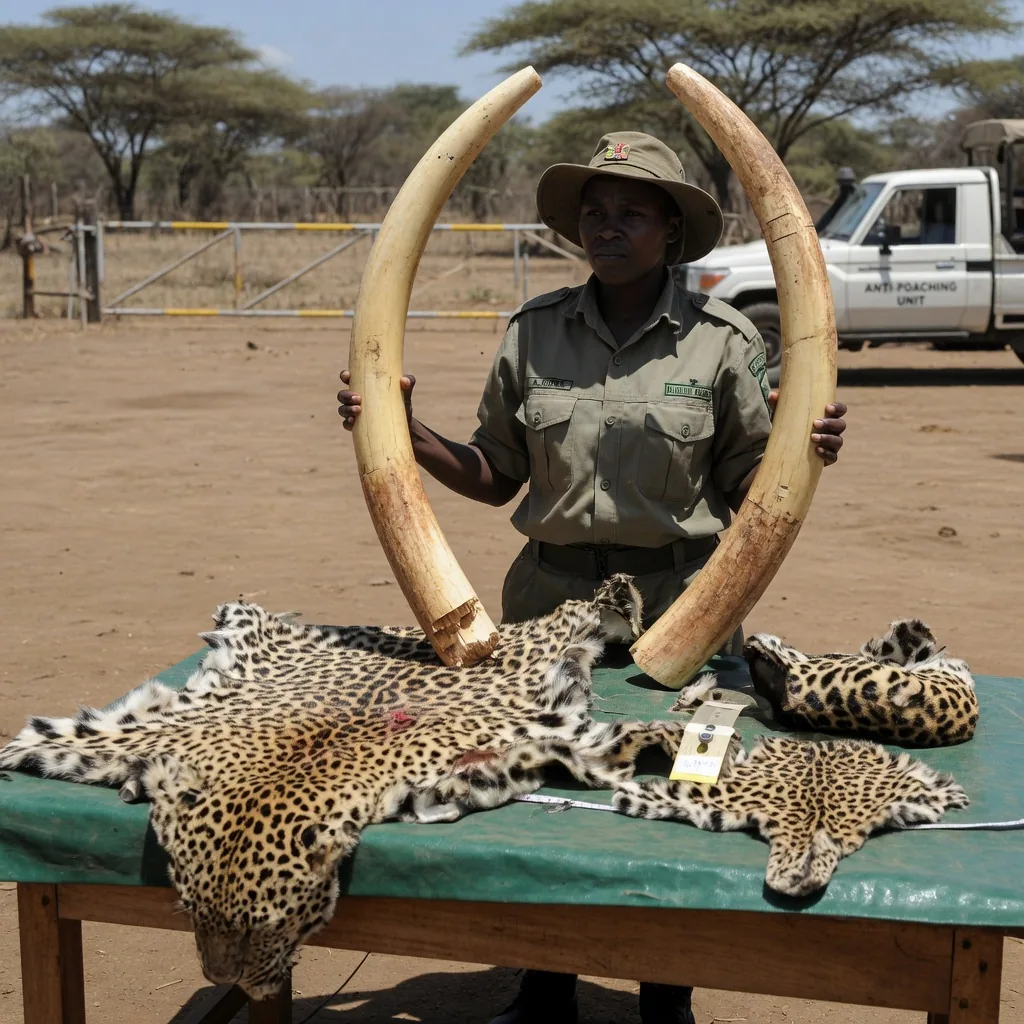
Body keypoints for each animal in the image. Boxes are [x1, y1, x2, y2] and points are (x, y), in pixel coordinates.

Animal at [0, 574, 682, 1000]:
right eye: (190, 912)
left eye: (267, 926)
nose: (223, 981)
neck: (285, 779)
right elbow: (60, 743)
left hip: (558, 636)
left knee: (595, 612)